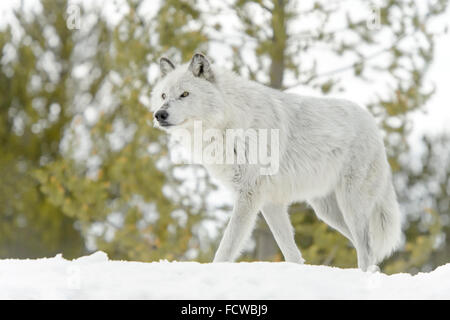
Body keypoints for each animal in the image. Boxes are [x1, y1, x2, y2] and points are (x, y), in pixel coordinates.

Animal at [151, 52, 400, 270]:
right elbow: (291, 252)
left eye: (184, 94)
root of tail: (373, 124)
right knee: (367, 248)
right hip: (327, 211)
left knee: (367, 248)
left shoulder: (248, 196)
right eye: (163, 96)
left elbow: (226, 246)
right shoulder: (270, 202)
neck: (230, 124)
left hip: (350, 205)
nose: (159, 115)